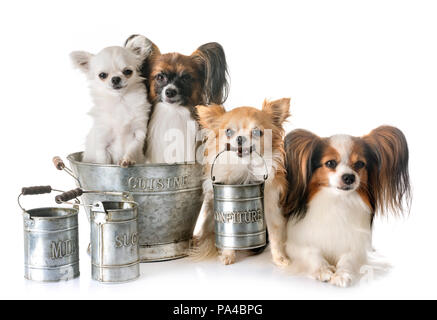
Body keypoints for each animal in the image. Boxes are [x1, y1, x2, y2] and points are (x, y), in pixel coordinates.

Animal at [190, 99, 290, 266]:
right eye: (229, 132)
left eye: (257, 132)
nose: (240, 138)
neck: (244, 169)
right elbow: (226, 235)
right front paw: (227, 255)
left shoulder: (270, 204)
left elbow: (275, 233)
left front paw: (280, 259)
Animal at [282, 125, 408, 288]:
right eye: (330, 163)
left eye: (360, 164)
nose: (349, 177)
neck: (337, 201)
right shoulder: (295, 244)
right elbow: (311, 252)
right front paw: (323, 270)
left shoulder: (357, 246)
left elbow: (348, 259)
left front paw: (342, 274)